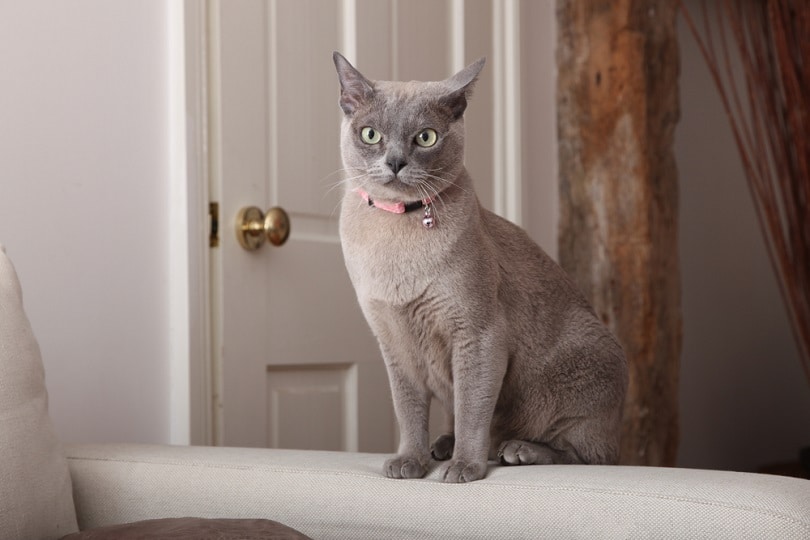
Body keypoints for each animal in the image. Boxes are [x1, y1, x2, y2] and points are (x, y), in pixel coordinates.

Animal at [332, 52, 628, 484]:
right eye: (370, 135)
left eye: (425, 138)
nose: (396, 162)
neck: (395, 233)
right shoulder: (394, 342)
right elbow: (409, 410)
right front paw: (409, 462)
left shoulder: (479, 334)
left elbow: (472, 408)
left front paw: (463, 469)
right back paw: (444, 445)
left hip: (579, 368)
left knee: (588, 454)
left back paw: (516, 451)